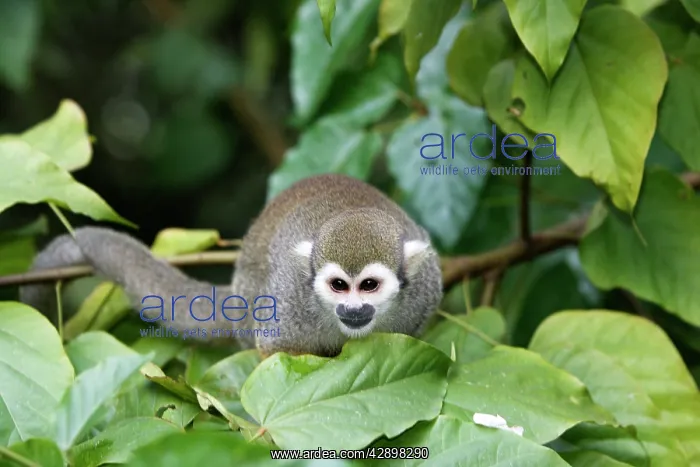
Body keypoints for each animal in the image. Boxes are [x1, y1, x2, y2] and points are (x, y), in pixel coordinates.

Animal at [20, 174, 443, 358]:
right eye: (339, 286)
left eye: (368, 285)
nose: (352, 309)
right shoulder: (293, 298)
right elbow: (277, 353)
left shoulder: (424, 291)